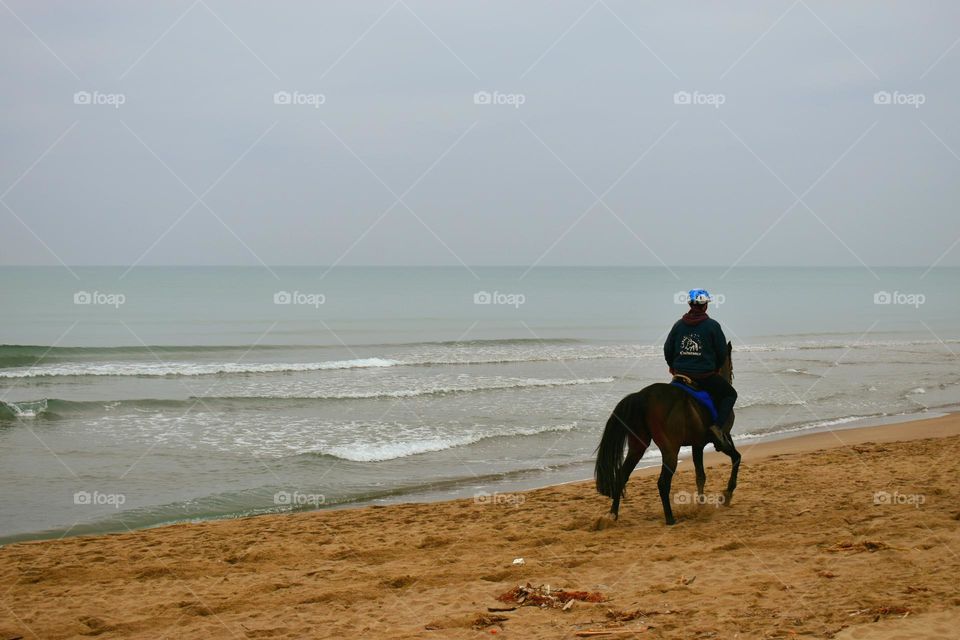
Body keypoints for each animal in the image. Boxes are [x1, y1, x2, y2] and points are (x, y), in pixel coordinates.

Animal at [592, 342, 744, 528]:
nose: (731, 376)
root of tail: (643, 395)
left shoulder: (697, 445)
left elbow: (700, 476)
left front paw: (700, 506)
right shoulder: (724, 437)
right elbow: (736, 458)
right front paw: (727, 494)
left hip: (638, 447)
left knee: (622, 475)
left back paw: (612, 515)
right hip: (671, 451)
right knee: (663, 483)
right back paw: (670, 518)